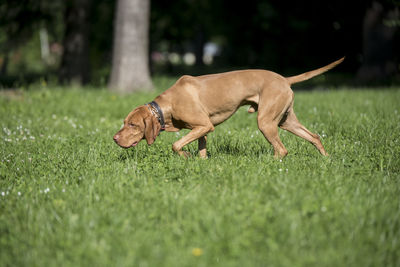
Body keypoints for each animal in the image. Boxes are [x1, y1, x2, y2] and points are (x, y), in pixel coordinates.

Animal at [112, 57, 344, 158]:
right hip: (286, 121)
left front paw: (185, 157)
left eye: (133, 125)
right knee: (314, 136)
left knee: (282, 149)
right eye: (124, 122)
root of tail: (284, 79)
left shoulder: (204, 125)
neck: (166, 106)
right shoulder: (202, 129)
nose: (114, 138)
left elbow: (176, 145)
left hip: (266, 122)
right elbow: (201, 150)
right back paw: (326, 159)